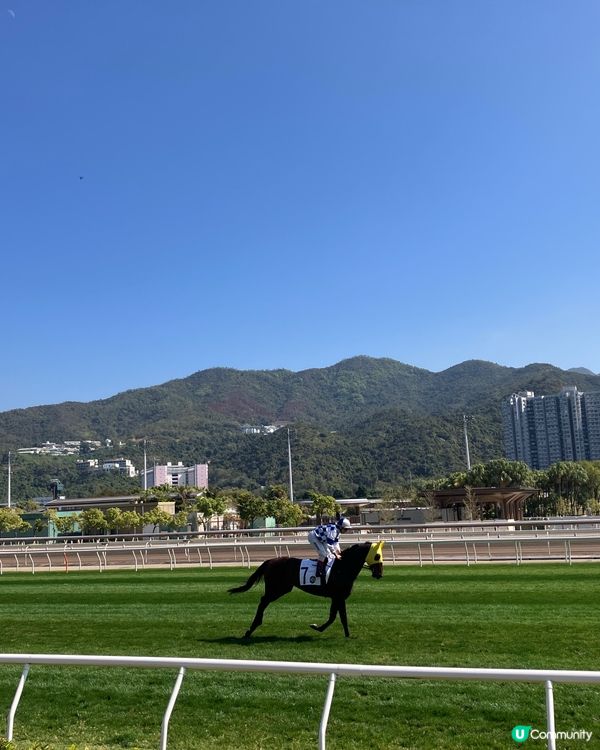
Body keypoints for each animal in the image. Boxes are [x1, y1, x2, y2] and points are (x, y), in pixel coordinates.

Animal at [228, 541, 384, 638]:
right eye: (377, 556)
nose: (379, 574)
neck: (342, 567)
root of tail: (270, 561)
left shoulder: (337, 597)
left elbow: (337, 616)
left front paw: (345, 634)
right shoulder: (338, 596)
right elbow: (338, 617)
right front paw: (320, 627)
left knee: (263, 601)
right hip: (277, 589)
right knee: (263, 601)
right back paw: (252, 628)